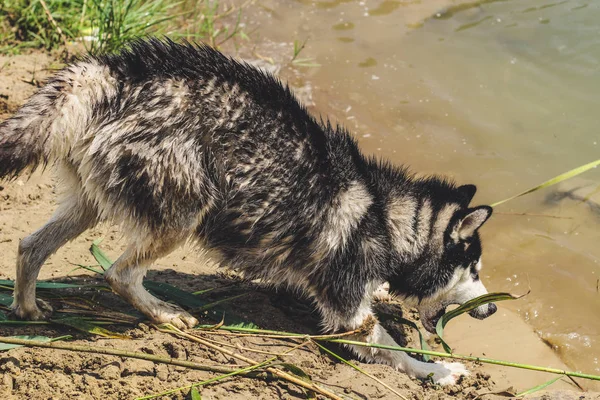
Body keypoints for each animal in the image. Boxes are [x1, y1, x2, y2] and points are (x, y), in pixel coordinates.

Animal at [0, 38, 496, 384]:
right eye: (473, 269)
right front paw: (436, 370)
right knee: (118, 274)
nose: (492, 310)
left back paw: (27, 308)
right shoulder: (349, 311)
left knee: (29, 245)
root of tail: (112, 73)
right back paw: (163, 314)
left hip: (91, 202)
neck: (387, 216)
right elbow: (390, 347)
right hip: (186, 209)